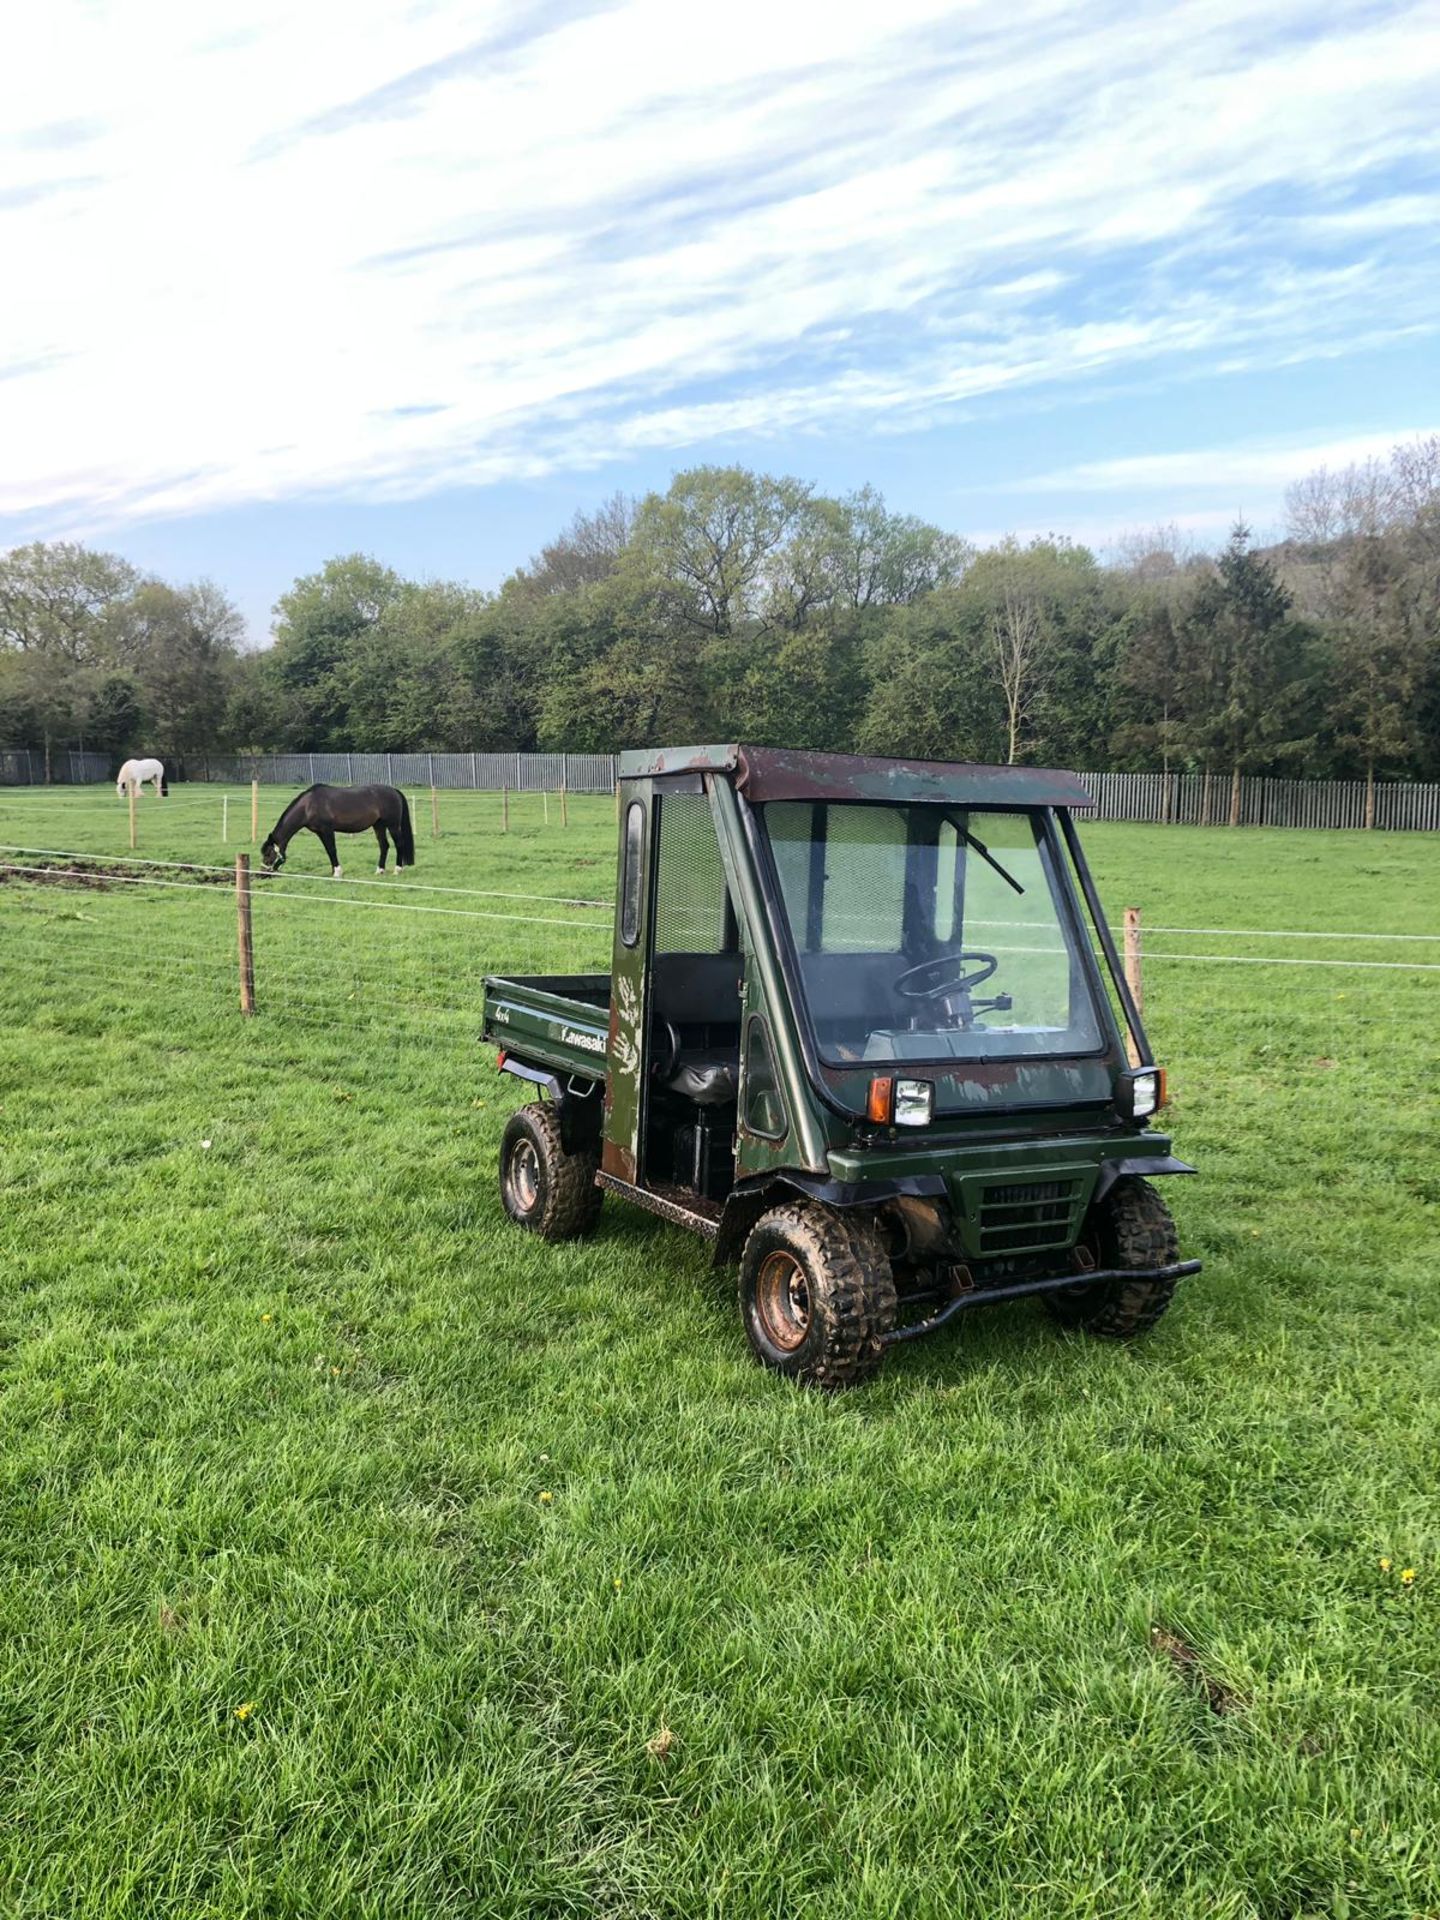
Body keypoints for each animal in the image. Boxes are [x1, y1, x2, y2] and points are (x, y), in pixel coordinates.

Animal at [259, 779, 414, 879]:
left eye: (268, 854)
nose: (261, 874)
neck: (309, 805)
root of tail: (394, 790)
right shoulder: (320, 832)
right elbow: (328, 851)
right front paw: (333, 871)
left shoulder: (327, 830)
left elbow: (332, 849)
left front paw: (338, 872)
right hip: (379, 825)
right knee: (384, 845)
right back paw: (379, 871)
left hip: (392, 825)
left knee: (399, 844)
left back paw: (397, 870)